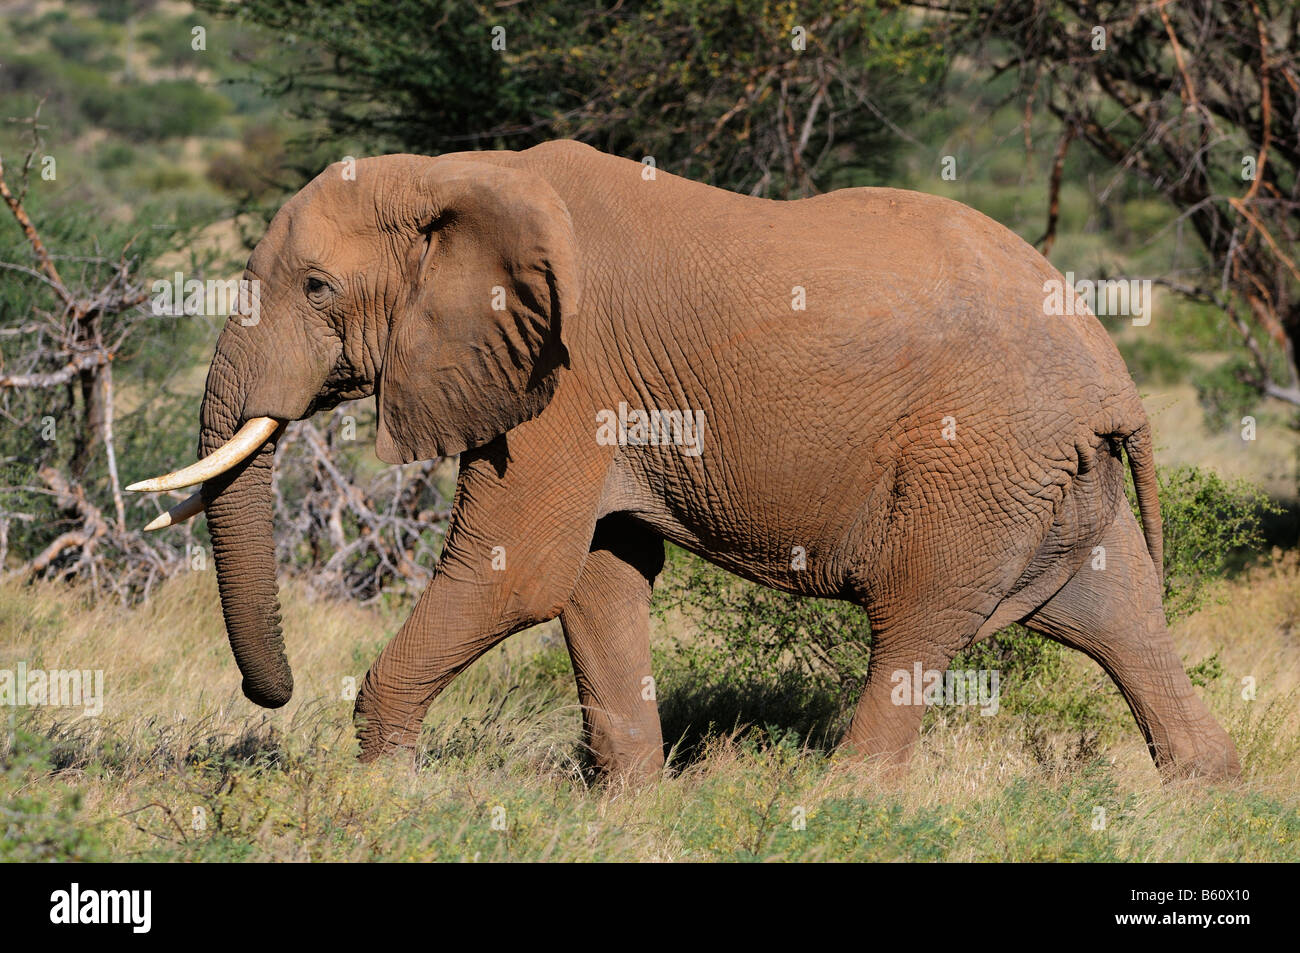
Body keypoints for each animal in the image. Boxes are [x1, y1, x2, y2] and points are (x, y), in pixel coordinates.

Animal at [129, 141, 1237, 780]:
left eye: (316, 287)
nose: (271, 697)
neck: (459, 171)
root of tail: (1113, 373)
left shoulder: (565, 374)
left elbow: (516, 572)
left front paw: (385, 793)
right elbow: (597, 577)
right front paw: (629, 807)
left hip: (979, 456)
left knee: (917, 614)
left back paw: (841, 805)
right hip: (1051, 469)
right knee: (1115, 610)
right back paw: (1202, 790)